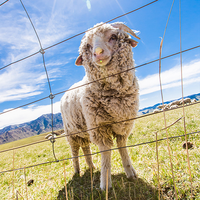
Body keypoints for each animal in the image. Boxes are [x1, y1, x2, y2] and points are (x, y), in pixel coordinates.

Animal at [60, 22, 140, 190]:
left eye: (113, 36)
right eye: (88, 46)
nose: (97, 53)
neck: (115, 97)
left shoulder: (124, 125)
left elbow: (122, 147)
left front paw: (130, 172)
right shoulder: (99, 127)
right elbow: (106, 152)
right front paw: (105, 183)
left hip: (83, 130)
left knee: (85, 148)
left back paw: (91, 167)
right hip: (71, 132)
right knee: (75, 151)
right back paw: (76, 170)